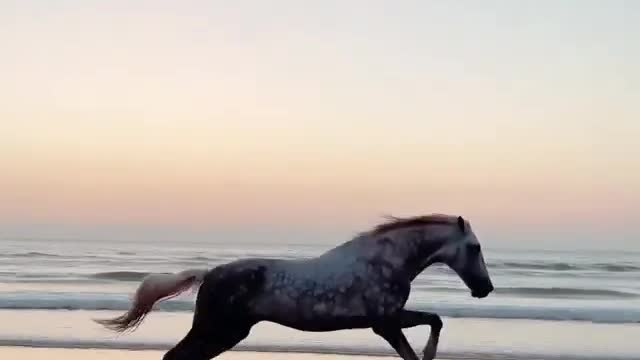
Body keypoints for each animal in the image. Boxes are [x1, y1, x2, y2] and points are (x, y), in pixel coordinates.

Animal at [95, 214, 496, 360]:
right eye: (475, 247)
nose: (486, 289)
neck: (384, 261)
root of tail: (209, 273)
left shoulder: (389, 319)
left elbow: (434, 320)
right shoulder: (385, 323)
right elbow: (421, 339)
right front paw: (428, 354)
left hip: (228, 332)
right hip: (217, 328)